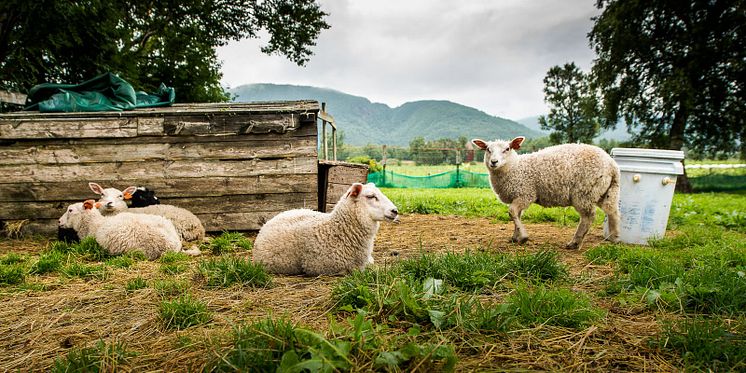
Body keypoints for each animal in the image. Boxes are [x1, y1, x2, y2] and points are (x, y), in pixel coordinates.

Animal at [470, 135, 620, 248]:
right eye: (488, 149)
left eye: (507, 149)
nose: (494, 162)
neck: (515, 168)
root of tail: (612, 165)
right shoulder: (518, 196)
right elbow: (517, 215)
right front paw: (515, 237)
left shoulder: (525, 194)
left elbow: (512, 212)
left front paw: (523, 237)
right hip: (604, 191)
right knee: (613, 212)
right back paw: (614, 237)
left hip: (584, 192)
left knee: (588, 217)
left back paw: (575, 243)